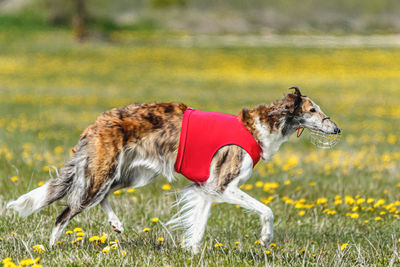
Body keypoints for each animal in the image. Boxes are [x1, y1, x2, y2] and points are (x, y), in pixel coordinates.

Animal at [7, 87, 340, 253]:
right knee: (65, 211)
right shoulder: (222, 185)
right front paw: (266, 239)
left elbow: (198, 225)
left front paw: (191, 252)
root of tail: (97, 122)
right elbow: (267, 210)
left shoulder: (206, 189)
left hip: (130, 175)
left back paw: (116, 224)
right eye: (313, 110)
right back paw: (51, 247)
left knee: (101, 199)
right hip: (102, 174)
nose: (336, 129)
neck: (259, 127)